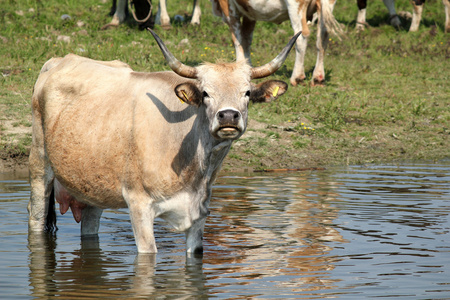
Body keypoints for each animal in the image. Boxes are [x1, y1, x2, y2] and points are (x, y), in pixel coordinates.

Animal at [29, 29, 300, 253]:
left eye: (247, 92)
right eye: (205, 93)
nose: (228, 116)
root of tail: (58, 60)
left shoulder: (199, 214)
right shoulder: (139, 206)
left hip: (92, 186)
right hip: (39, 165)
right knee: (36, 217)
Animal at [209, 0, 342, 85]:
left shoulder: (228, 7)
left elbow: (237, 39)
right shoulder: (250, 13)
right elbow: (246, 39)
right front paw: (248, 66)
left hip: (295, 7)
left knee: (302, 35)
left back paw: (297, 77)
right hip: (327, 6)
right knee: (323, 37)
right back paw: (318, 77)